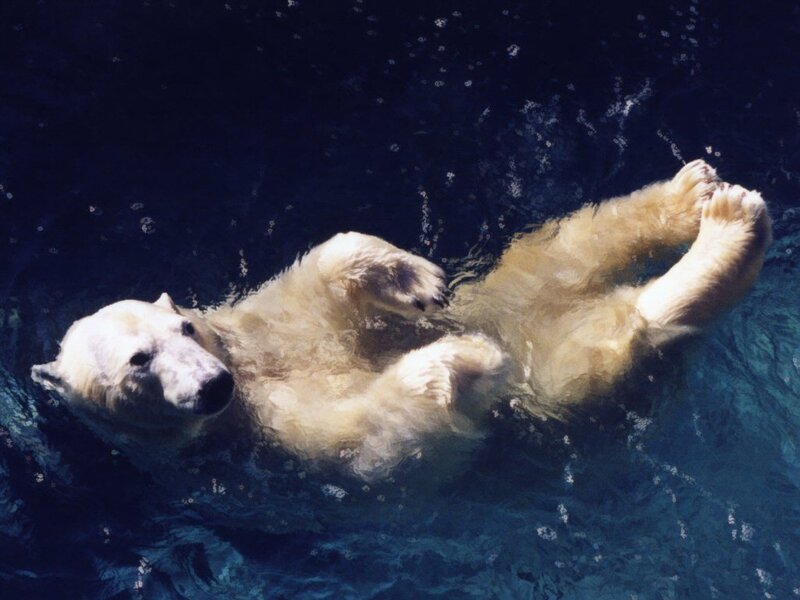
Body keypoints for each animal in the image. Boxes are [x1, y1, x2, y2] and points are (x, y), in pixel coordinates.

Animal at [31, 160, 772, 479]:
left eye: (180, 329)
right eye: (138, 365)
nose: (214, 384)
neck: (249, 370)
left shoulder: (261, 323)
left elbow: (325, 268)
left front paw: (412, 278)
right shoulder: (281, 441)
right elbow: (384, 433)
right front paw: (469, 358)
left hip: (510, 283)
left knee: (569, 244)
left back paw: (696, 193)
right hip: (563, 378)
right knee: (603, 346)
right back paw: (727, 226)